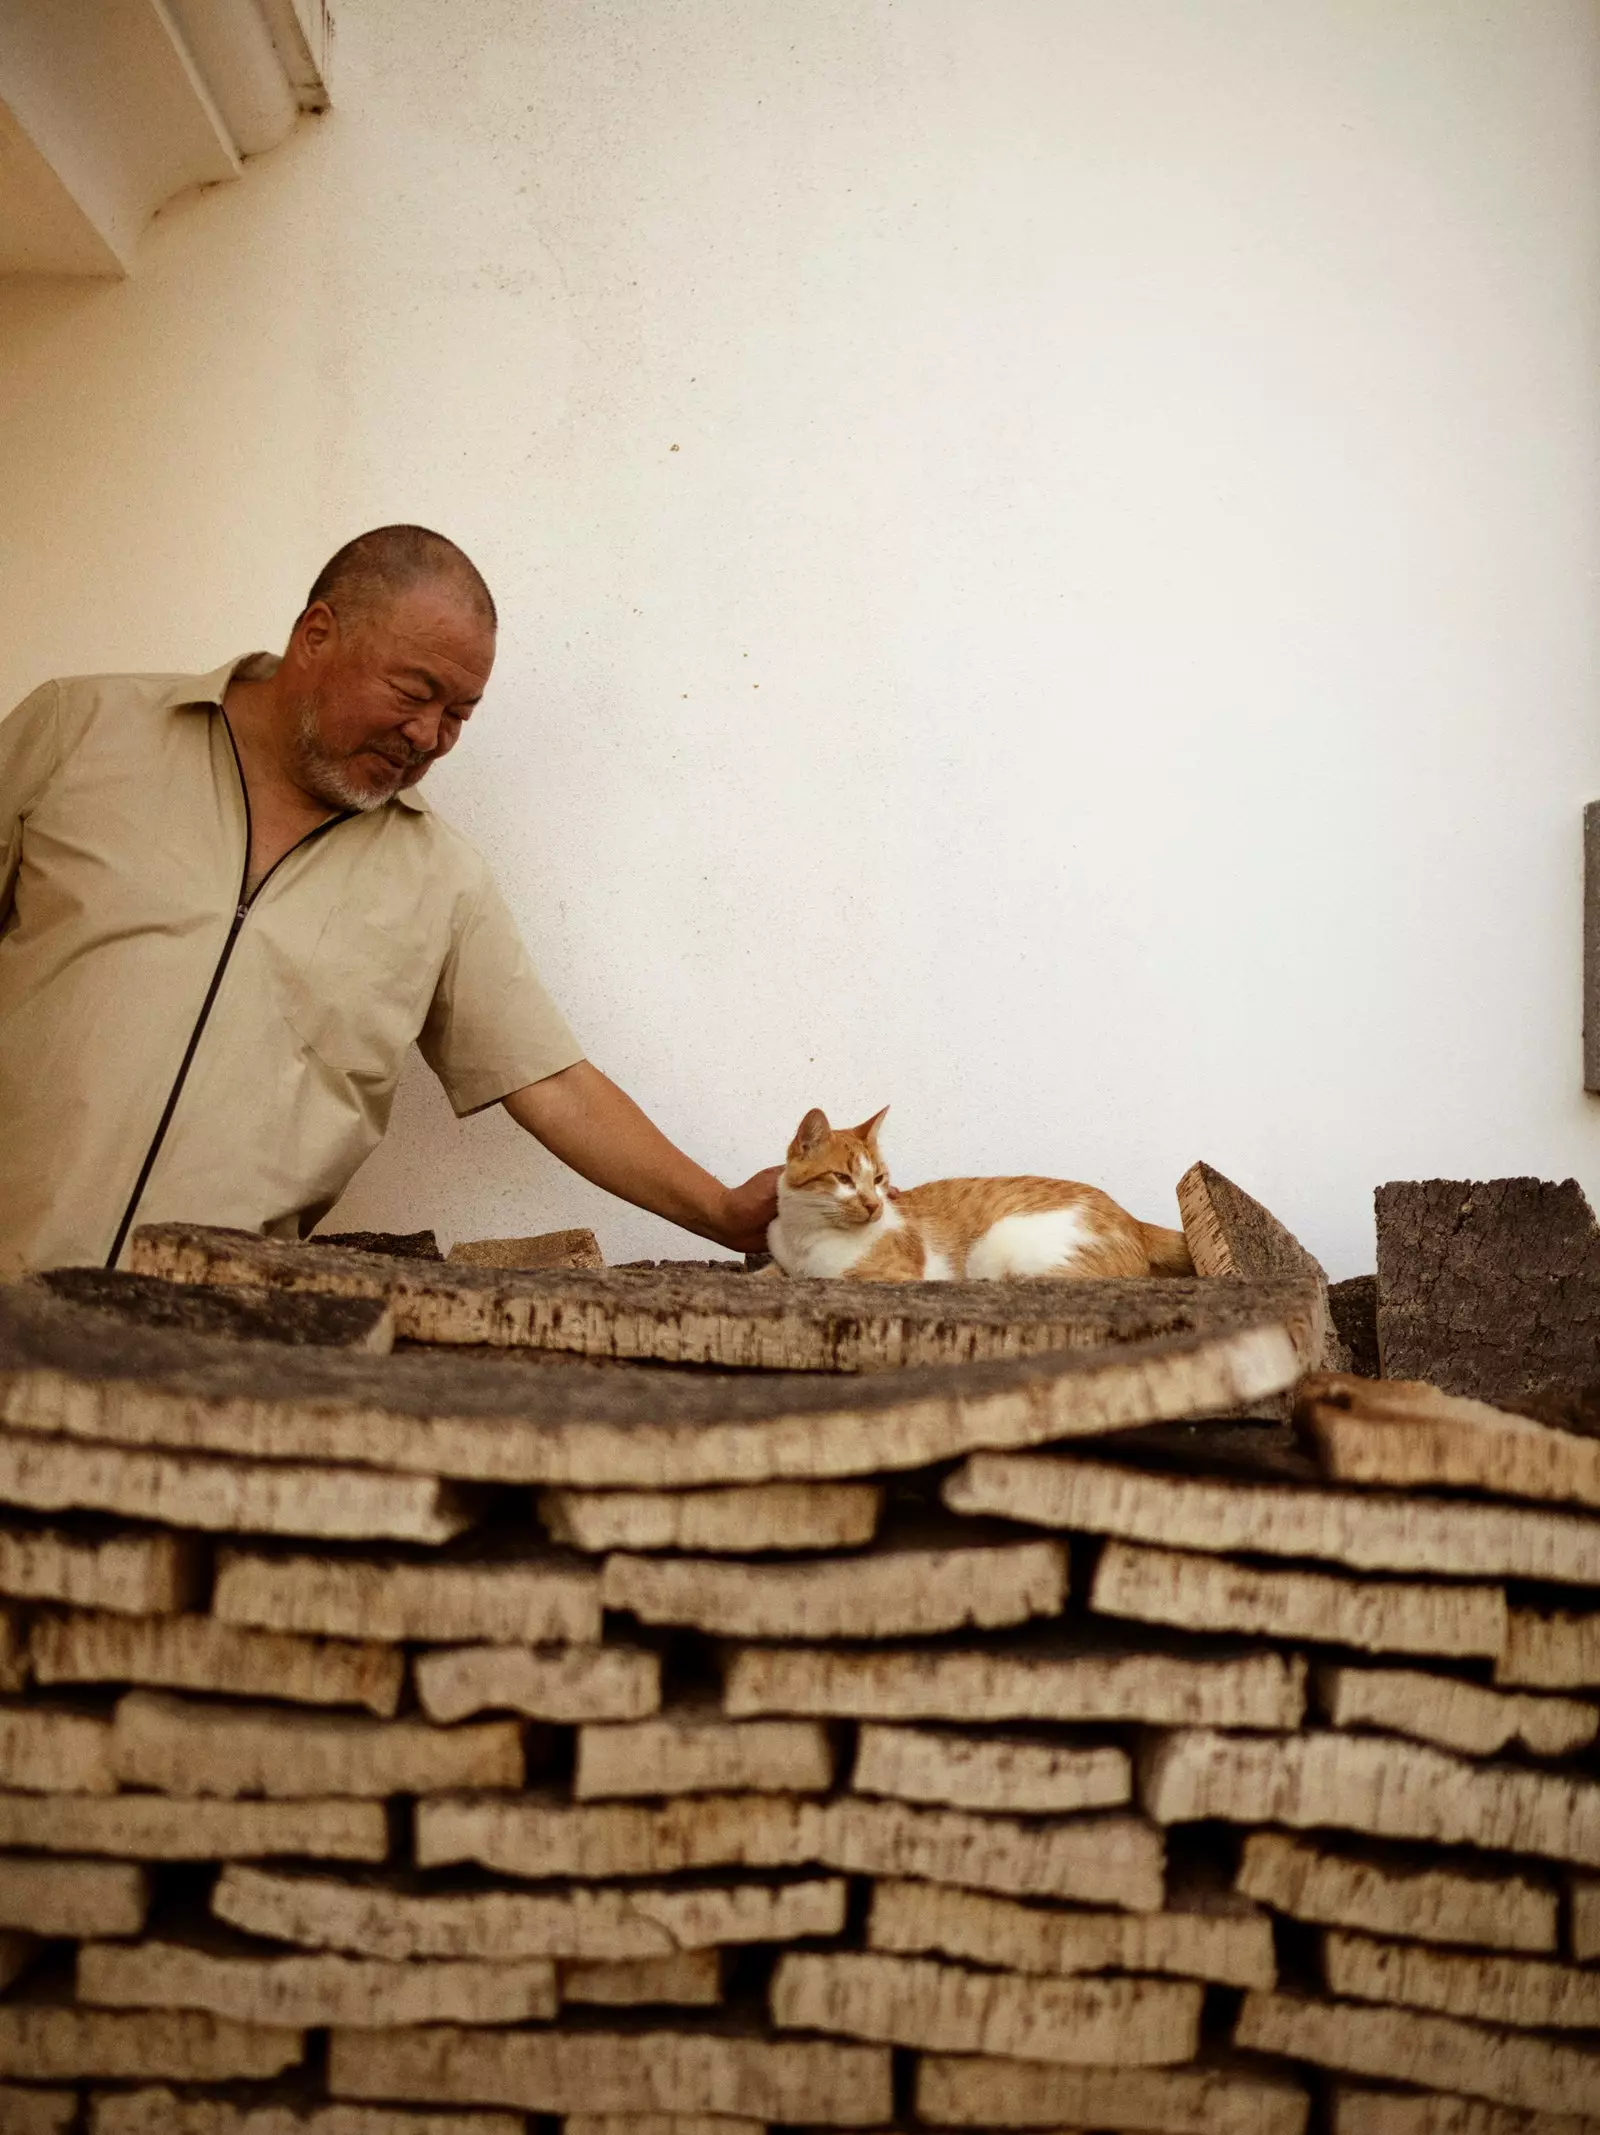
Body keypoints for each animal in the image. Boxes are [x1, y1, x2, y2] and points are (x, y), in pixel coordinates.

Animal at [769, 1101, 1196, 1281]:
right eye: (843, 1179)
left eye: (878, 1179)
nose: (874, 1206)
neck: (803, 1236)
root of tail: (1133, 1221)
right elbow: (772, 1273)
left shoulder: (893, 1275)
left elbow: (835, 1278)